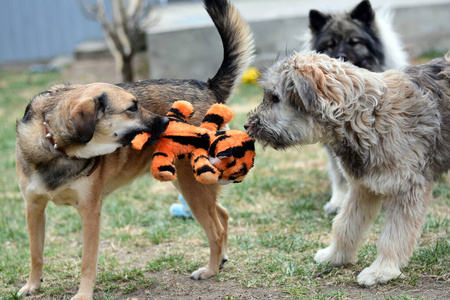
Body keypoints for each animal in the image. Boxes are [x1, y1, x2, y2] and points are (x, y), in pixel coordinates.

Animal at [15, 0, 255, 298]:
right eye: (132, 108)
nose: (167, 122)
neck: (55, 146)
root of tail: (207, 87)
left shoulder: (90, 211)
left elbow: (87, 261)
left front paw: (83, 294)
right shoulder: (33, 207)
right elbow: (35, 253)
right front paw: (32, 285)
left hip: (191, 186)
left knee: (216, 229)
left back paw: (209, 271)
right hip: (192, 186)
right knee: (222, 215)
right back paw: (220, 260)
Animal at [246, 51, 450, 286]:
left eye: (275, 98)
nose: (247, 125)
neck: (370, 117)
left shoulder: (406, 189)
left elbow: (394, 235)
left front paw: (382, 270)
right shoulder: (363, 187)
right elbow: (345, 225)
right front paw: (335, 256)